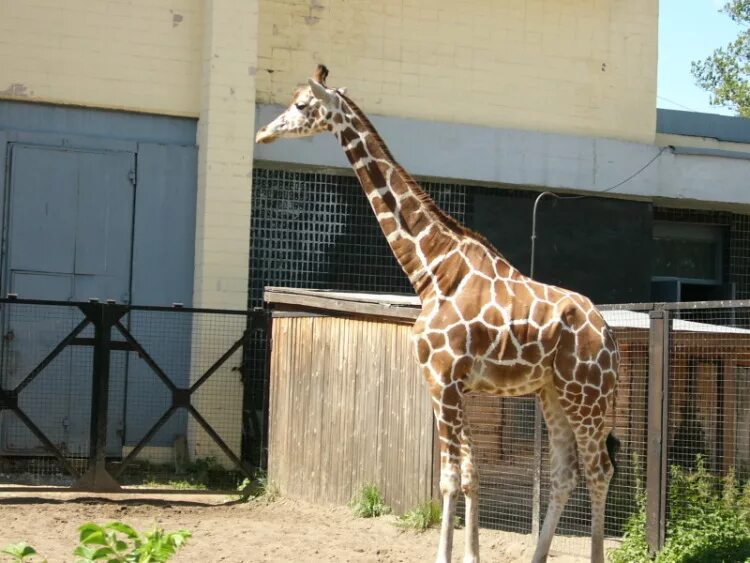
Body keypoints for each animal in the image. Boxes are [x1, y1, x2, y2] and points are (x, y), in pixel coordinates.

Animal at [256, 67, 620, 563]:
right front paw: (471, 555)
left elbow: (449, 477)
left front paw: (446, 556)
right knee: (566, 472)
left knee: (599, 469)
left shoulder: (443, 378)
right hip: (552, 393)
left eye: (300, 105)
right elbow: (468, 472)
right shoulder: (448, 383)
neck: (431, 269)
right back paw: (536, 557)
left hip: (586, 394)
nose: (263, 133)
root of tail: (609, 336)